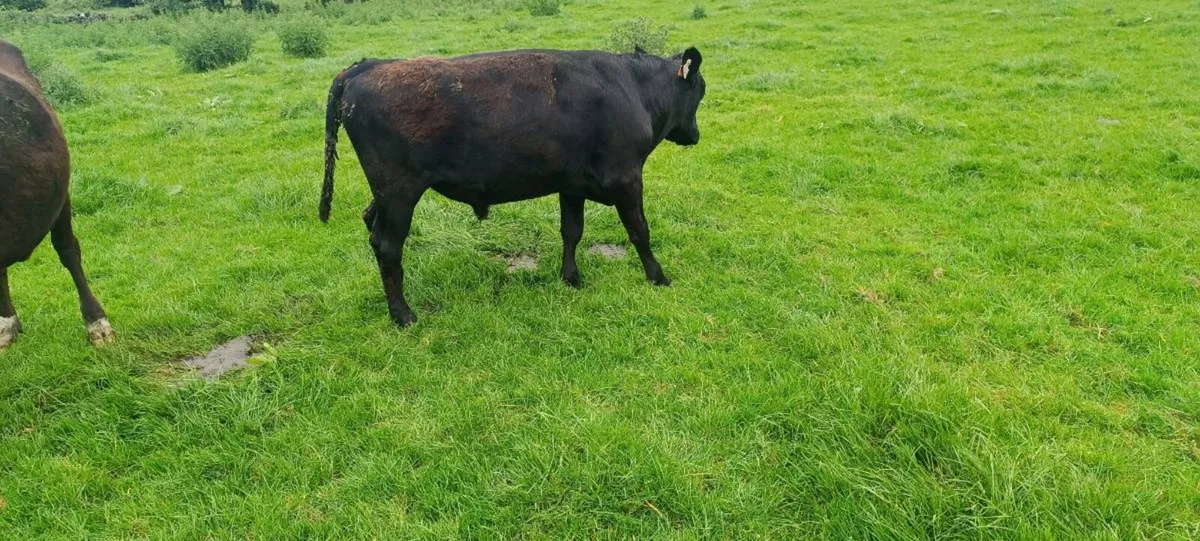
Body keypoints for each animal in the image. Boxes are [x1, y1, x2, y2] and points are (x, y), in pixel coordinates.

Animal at [320, 47, 706, 327]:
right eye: (700, 92)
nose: (695, 136)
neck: (633, 90)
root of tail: (365, 67)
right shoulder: (626, 179)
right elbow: (639, 231)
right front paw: (658, 277)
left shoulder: (572, 184)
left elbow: (572, 231)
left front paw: (571, 277)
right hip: (400, 193)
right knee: (389, 248)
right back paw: (403, 315)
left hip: (386, 195)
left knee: (372, 228)